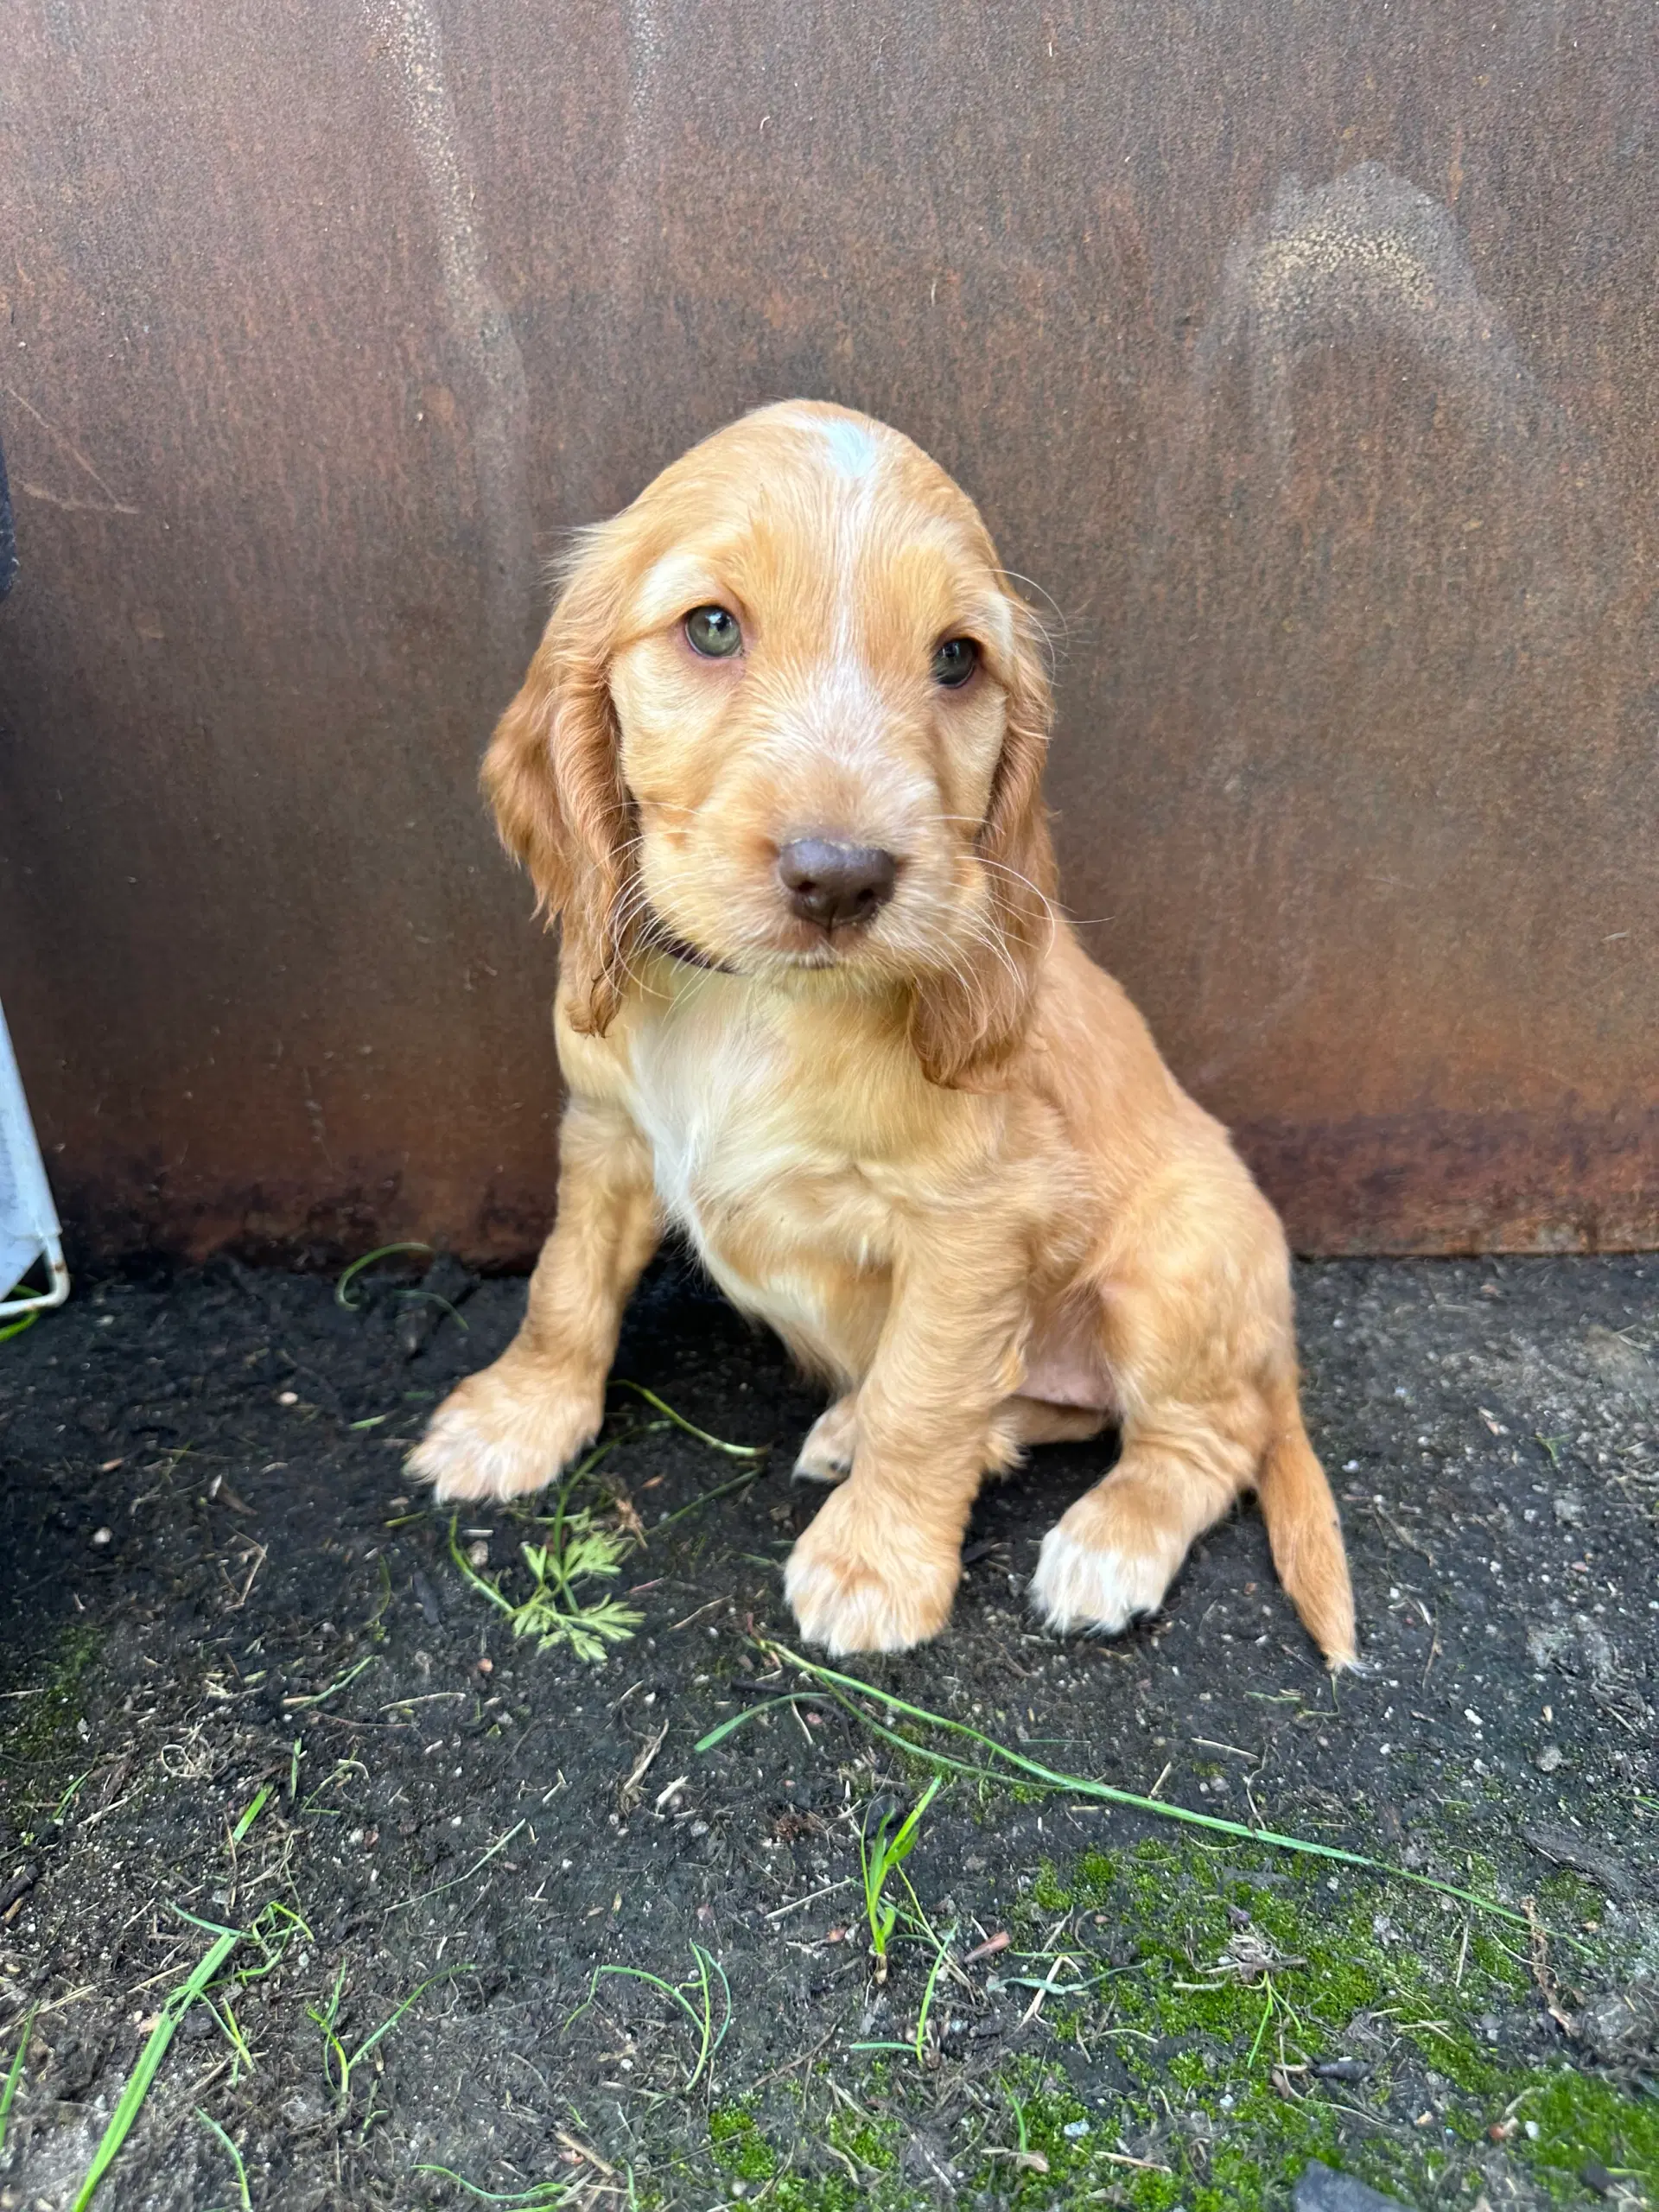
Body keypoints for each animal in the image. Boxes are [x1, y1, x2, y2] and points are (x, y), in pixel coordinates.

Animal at [409, 407, 1353, 1663]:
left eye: (957, 658)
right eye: (711, 627)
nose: (842, 879)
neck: (761, 1007)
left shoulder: (974, 1227)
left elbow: (928, 1394)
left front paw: (876, 1564)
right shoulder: (608, 1133)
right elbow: (566, 1285)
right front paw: (520, 1416)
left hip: (1177, 1269)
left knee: (1208, 1435)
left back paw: (1112, 1540)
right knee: (1047, 1407)